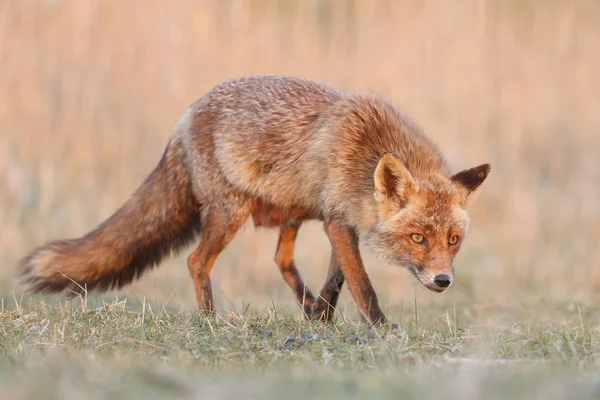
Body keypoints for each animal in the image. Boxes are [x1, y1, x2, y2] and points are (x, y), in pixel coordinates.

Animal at [18, 74, 490, 324]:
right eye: (417, 238)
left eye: (453, 240)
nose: (443, 281)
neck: (366, 151)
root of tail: (185, 117)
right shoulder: (339, 223)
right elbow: (363, 287)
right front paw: (381, 332)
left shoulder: (340, 222)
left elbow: (336, 281)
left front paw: (322, 319)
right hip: (230, 214)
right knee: (196, 262)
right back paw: (209, 321)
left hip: (291, 213)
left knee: (281, 260)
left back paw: (307, 309)